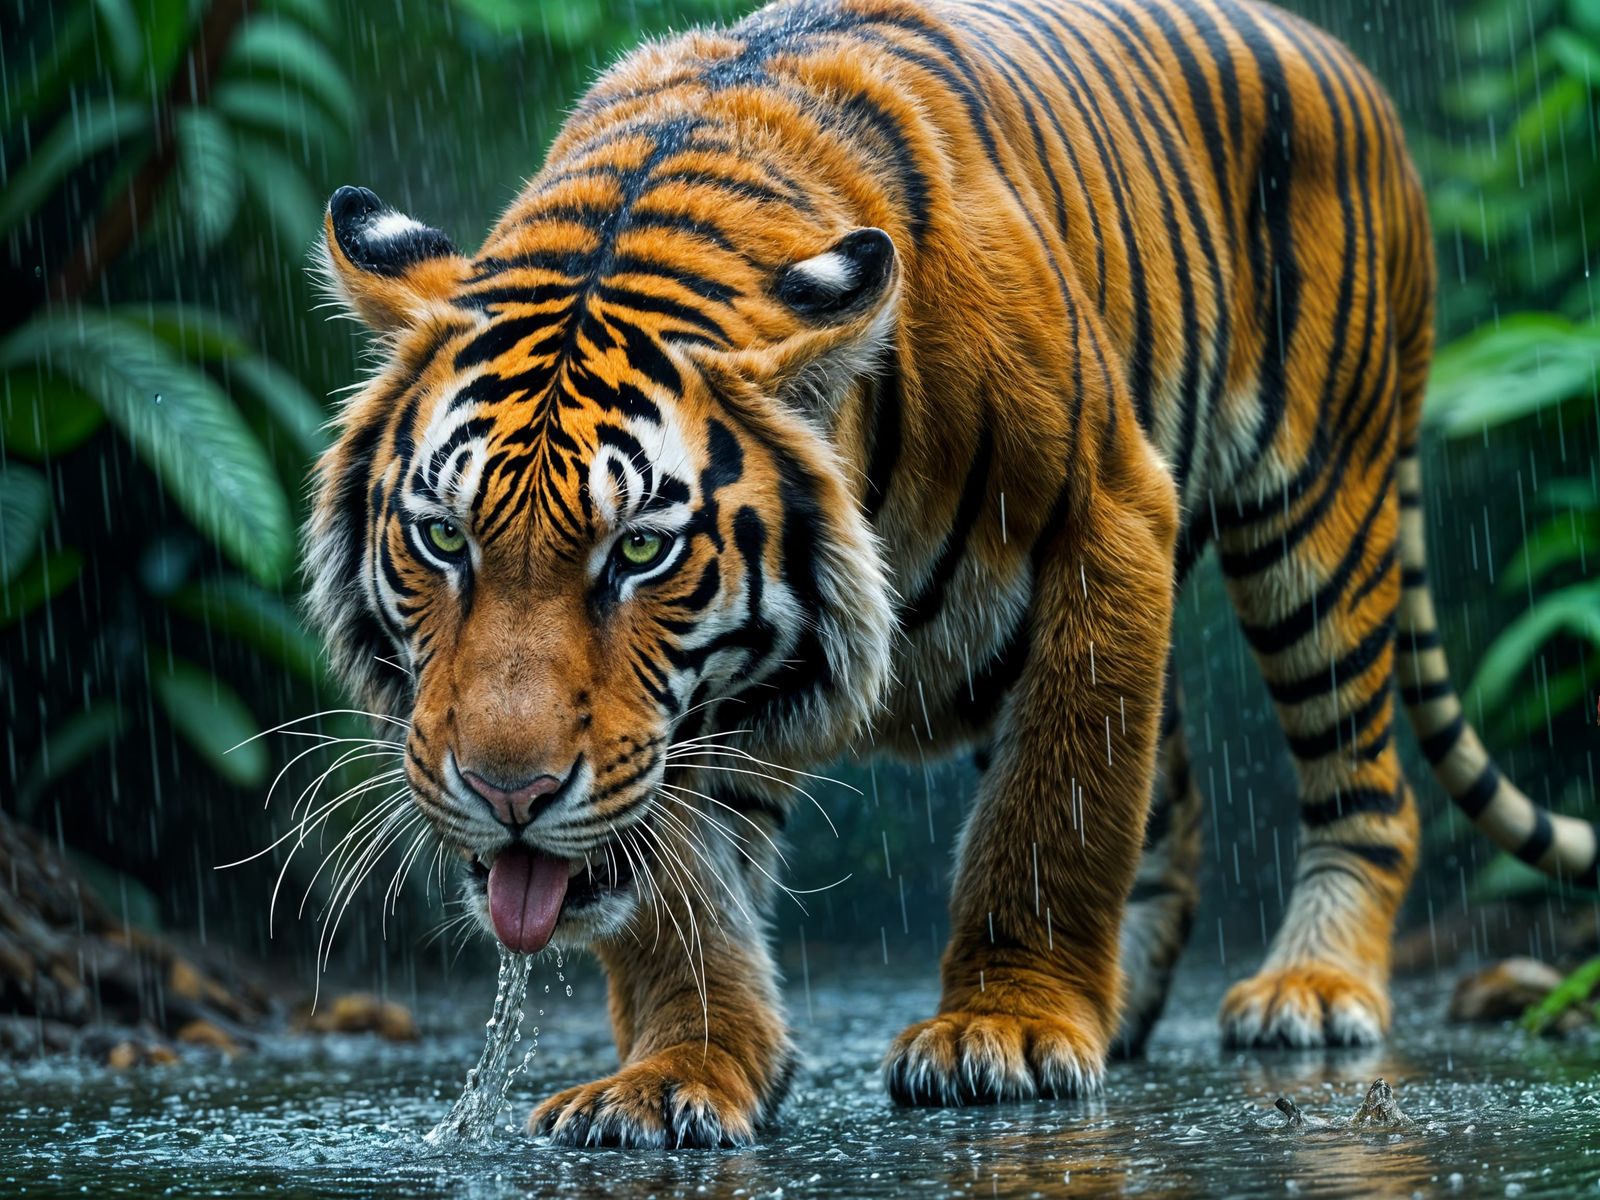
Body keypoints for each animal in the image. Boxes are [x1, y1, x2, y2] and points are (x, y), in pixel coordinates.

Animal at [306, 0, 1600, 1148]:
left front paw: (1007, 1029)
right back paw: (1121, 1001)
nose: (507, 793)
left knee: (1360, 781)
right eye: (443, 539)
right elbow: (679, 886)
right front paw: (680, 1069)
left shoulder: (1104, 517)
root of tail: (1336, 54)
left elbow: (1054, 806)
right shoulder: (698, 719)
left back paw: (1312, 988)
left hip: (1320, 507)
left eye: (638, 550)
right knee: (1173, 797)